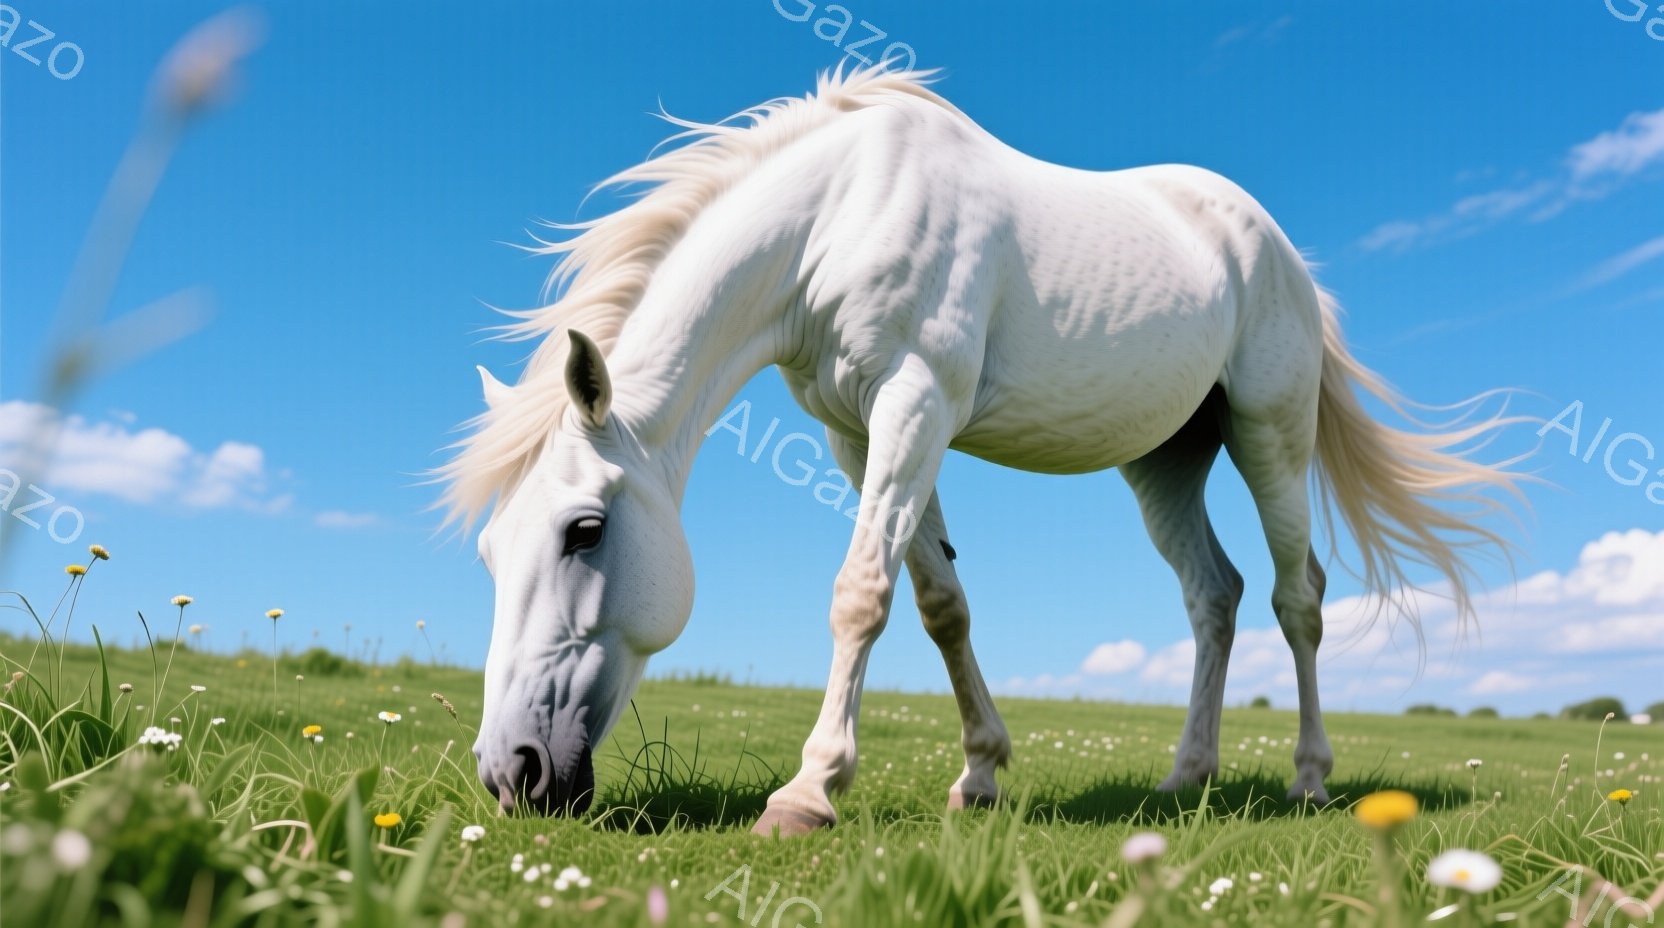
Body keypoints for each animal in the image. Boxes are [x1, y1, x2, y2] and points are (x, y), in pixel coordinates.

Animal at [439, 67, 1523, 834]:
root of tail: (1275, 248)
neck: (836, 217)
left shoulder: (913, 405)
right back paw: (1184, 778)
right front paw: (981, 775)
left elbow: (861, 594)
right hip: (1165, 459)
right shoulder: (856, 432)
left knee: (1298, 600)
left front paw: (808, 791)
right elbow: (938, 603)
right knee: (1213, 595)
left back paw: (1307, 780)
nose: (510, 773)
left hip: (1268, 432)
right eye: (490, 554)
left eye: (585, 530)